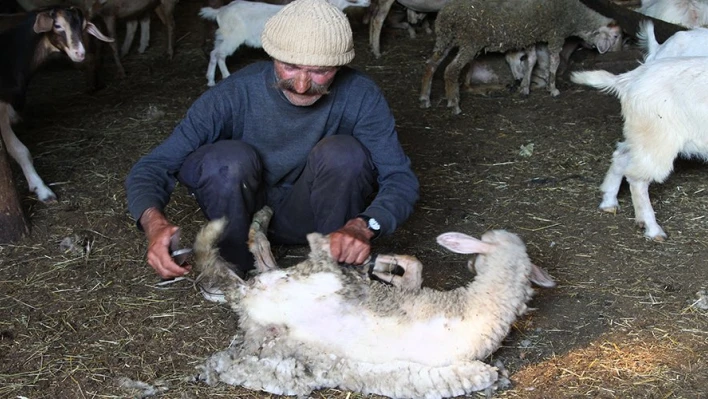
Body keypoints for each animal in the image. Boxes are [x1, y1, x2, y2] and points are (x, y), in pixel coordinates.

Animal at [0, 7, 112, 203]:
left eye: (83, 26)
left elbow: (22, 151)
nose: (80, 53)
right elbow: (19, 149)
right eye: (57, 25)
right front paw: (42, 190)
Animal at [191, 208, 556, 398]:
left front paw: (384, 267)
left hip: (295, 292)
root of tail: (245, 300)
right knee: (289, 250)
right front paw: (386, 267)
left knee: (276, 252)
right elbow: (414, 269)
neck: (477, 306)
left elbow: (413, 273)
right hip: (304, 280)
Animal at [196, 0, 368, 87]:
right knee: (220, 53)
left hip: (224, 34)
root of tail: (220, 12)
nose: (368, 2)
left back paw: (211, 80)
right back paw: (225, 76)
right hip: (233, 35)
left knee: (214, 53)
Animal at [420, 0, 620, 115]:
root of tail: (446, 14)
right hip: (470, 41)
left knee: (431, 64)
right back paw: (454, 103)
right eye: (616, 36)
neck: (575, 16)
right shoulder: (556, 34)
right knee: (450, 70)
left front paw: (524, 87)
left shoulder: (529, 38)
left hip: (446, 38)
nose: (614, 51)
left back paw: (424, 98)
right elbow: (553, 63)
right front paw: (553, 88)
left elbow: (531, 60)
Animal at [572, 56, 708, 241]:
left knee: (621, 156)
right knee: (637, 179)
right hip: (657, 139)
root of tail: (628, 80)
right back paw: (652, 228)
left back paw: (609, 201)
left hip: (641, 137)